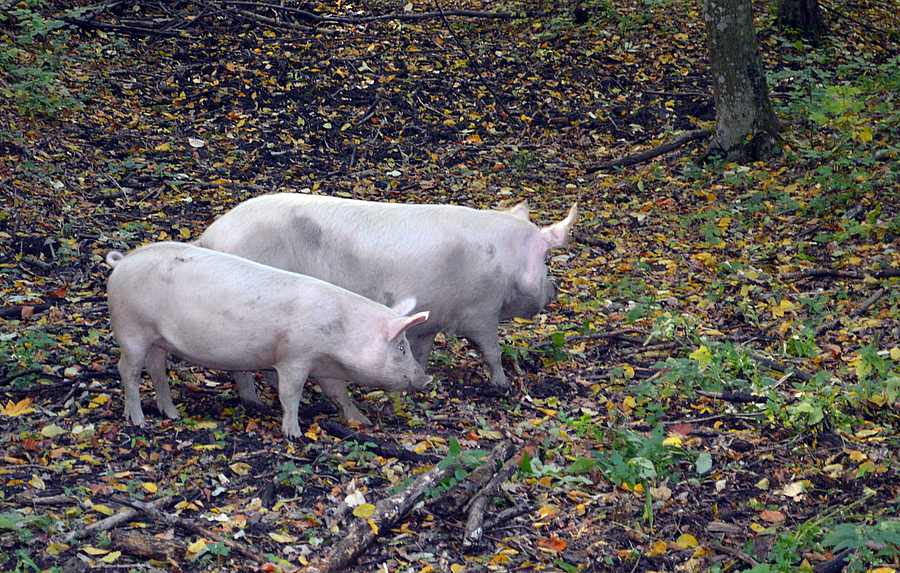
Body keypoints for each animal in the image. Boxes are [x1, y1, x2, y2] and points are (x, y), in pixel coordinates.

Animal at [105, 242, 432, 439]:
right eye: (401, 347)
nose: (426, 379)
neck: (340, 334)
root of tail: (122, 262)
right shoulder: (295, 357)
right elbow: (290, 394)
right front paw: (294, 434)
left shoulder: (323, 367)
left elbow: (339, 393)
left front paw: (361, 421)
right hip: (131, 330)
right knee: (128, 371)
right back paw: (138, 420)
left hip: (157, 339)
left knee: (156, 371)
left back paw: (171, 414)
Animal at [196, 194, 578, 424]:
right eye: (546, 258)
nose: (554, 289)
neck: (504, 261)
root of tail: (211, 235)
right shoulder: (480, 312)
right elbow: (491, 349)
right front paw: (501, 385)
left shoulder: (429, 321)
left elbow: (421, 352)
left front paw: (421, 381)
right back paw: (258, 403)